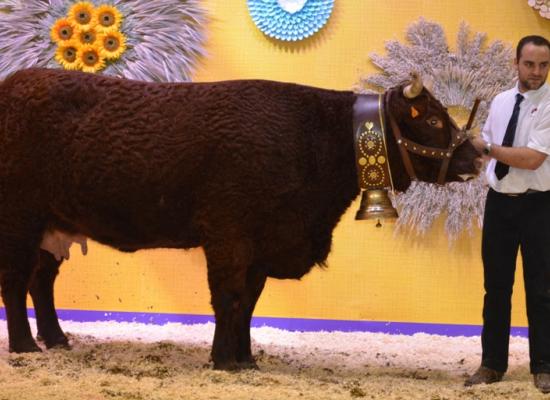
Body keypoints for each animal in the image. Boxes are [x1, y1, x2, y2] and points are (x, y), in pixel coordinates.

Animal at [0, 68, 478, 368]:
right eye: (433, 119)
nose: (475, 156)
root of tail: (15, 82)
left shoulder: (261, 248)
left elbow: (248, 303)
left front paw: (245, 359)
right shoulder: (229, 235)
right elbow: (227, 298)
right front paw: (222, 360)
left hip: (52, 227)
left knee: (41, 281)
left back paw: (56, 339)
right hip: (19, 219)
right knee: (15, 281)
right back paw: (25, 346)